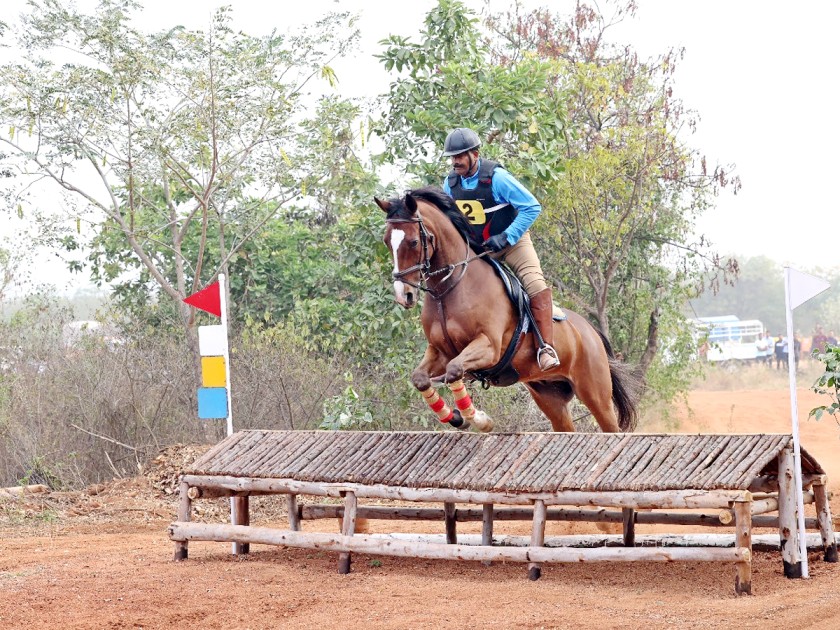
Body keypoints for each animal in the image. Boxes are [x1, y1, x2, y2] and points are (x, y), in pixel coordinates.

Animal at [374, 186, 636, 434]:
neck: (448, 290)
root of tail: (591, 331)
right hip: (549, 395)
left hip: (595, 393)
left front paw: (479, 420)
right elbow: (420, 379)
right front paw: (456, 418)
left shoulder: (489, 346)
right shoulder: (440, 351)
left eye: (413, 242)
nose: (404, 295)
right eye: (387, 241)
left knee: (609, 424)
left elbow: (454, 370)